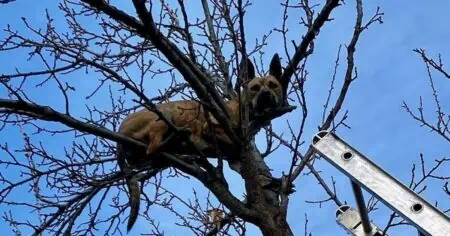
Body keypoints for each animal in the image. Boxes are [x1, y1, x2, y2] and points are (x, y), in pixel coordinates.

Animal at [116, 53, 284, 230]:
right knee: (153, 147)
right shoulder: (211, 129)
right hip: (166, 114)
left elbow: (256, 173)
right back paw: (178, 139)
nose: (265, 94)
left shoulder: (235, 160)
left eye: (273, 85)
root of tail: (120, 131)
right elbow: (234, 144)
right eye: (254, 88)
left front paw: (273, 182)